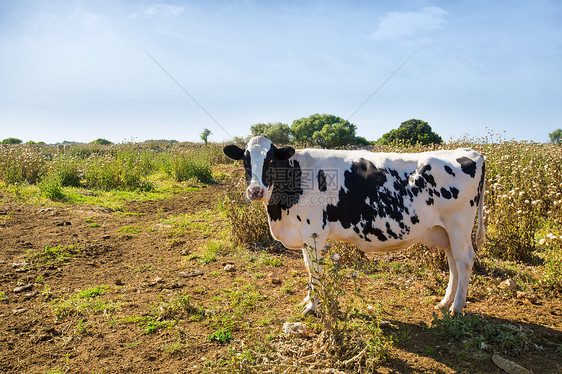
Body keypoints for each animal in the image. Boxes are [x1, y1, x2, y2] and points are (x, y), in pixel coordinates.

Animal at [221, 136, 484, 314]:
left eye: (271, 159)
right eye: (245, 161)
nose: (256, 191)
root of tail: (473, 153)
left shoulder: (314, 232)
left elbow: (315, 271)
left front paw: (313, 305)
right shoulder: (304, 236)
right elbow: (308, 269)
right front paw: (308, 300)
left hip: (459, 226)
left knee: (464, 262)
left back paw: (457, 307)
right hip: (445, 231)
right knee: (453, 263)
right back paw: (445, 302)